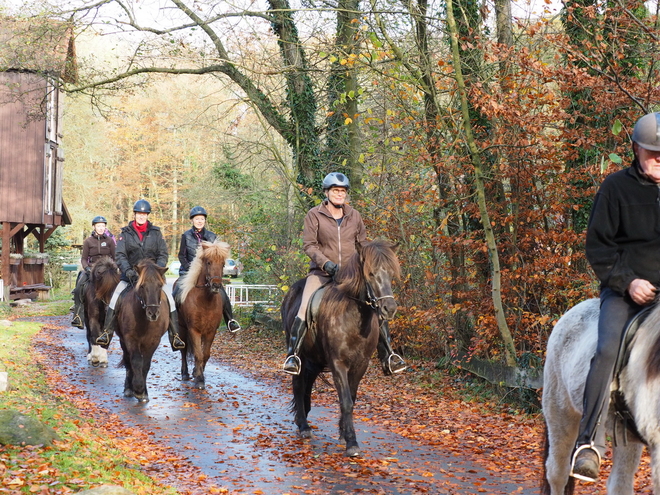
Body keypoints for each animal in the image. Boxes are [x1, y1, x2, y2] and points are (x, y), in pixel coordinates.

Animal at [174, 240, 231, 392]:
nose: (216, 285)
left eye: (223, 264)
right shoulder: (194, 330)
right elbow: (197, 354)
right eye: (209, 262)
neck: (205, 301)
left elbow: (205, 354)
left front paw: (199, 374)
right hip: (183, 329)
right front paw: (199, 379)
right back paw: (185, 373)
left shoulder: (210, 331)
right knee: (184, 350)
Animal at [282, 240, 400, 458]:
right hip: (299, 353)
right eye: (371, 273)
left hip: (315, 359)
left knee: (307, 383)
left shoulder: (361, 364)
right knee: (298, 383)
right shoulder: (338, 364)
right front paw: (352, 442)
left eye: (390, 273)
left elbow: (351, 399)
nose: (389, 308)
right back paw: (303, 426)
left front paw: (344, 434)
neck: (353, 316)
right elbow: (345, 401)